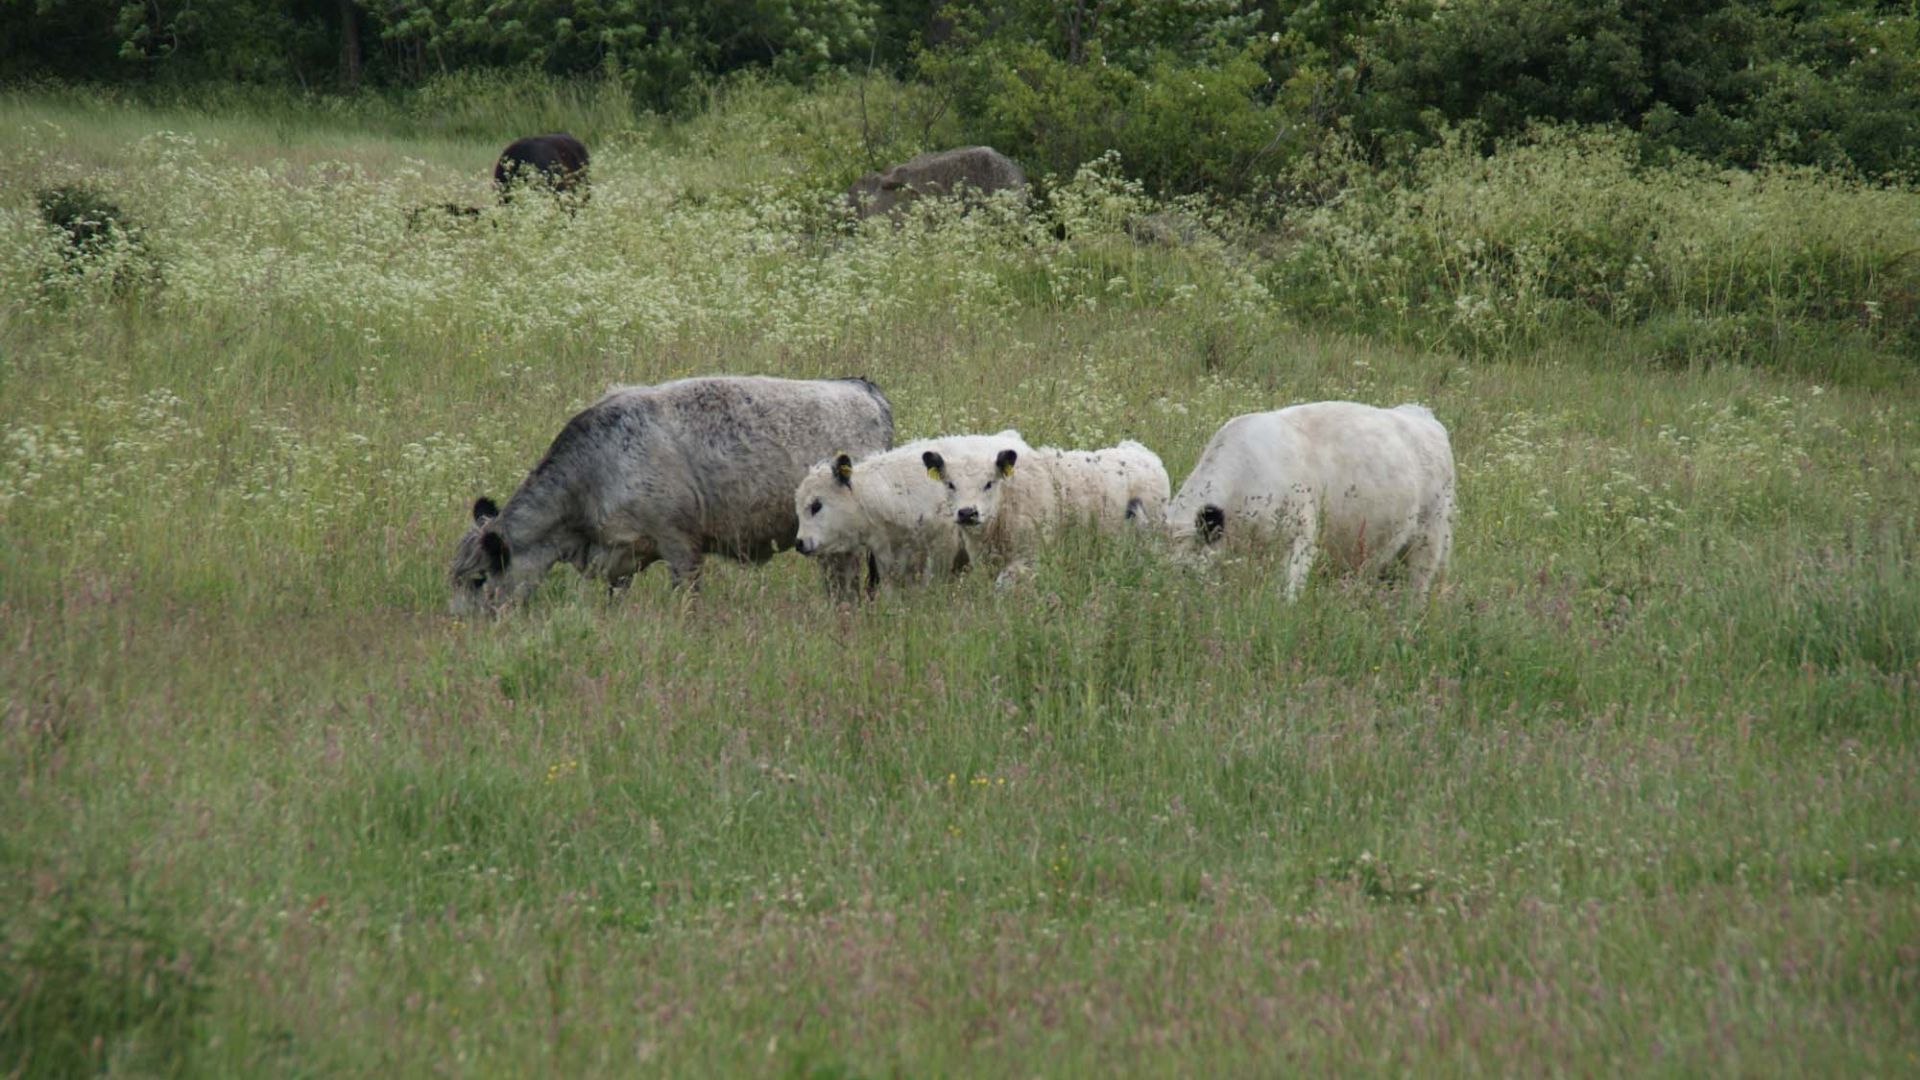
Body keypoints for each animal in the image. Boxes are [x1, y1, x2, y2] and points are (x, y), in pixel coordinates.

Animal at [449, 376, 890, 614]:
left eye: (478, 578)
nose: (462, 627)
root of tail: (863, 389)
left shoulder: (681, 547)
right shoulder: (620, 561)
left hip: (842, 549)